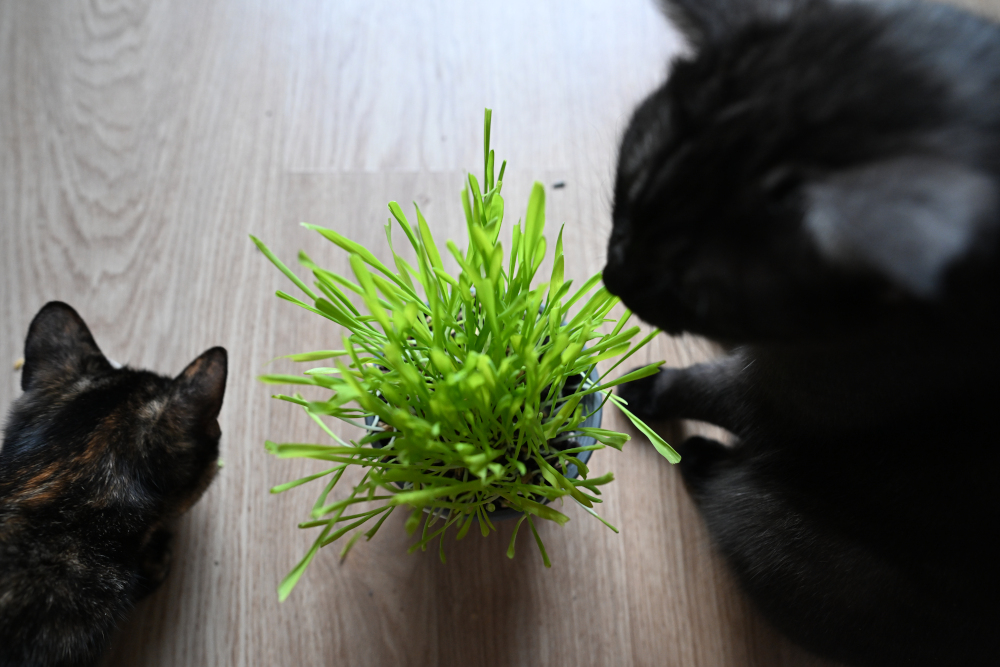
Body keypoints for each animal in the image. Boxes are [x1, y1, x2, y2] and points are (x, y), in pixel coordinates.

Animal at [604, 1, 1000, 667]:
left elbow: (706, 387)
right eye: (625, 201)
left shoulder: (795, 397)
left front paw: (643, 390)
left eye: (694, 288)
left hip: (779, 533)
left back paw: (703, 455)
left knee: (733, 494)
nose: (613, 280)